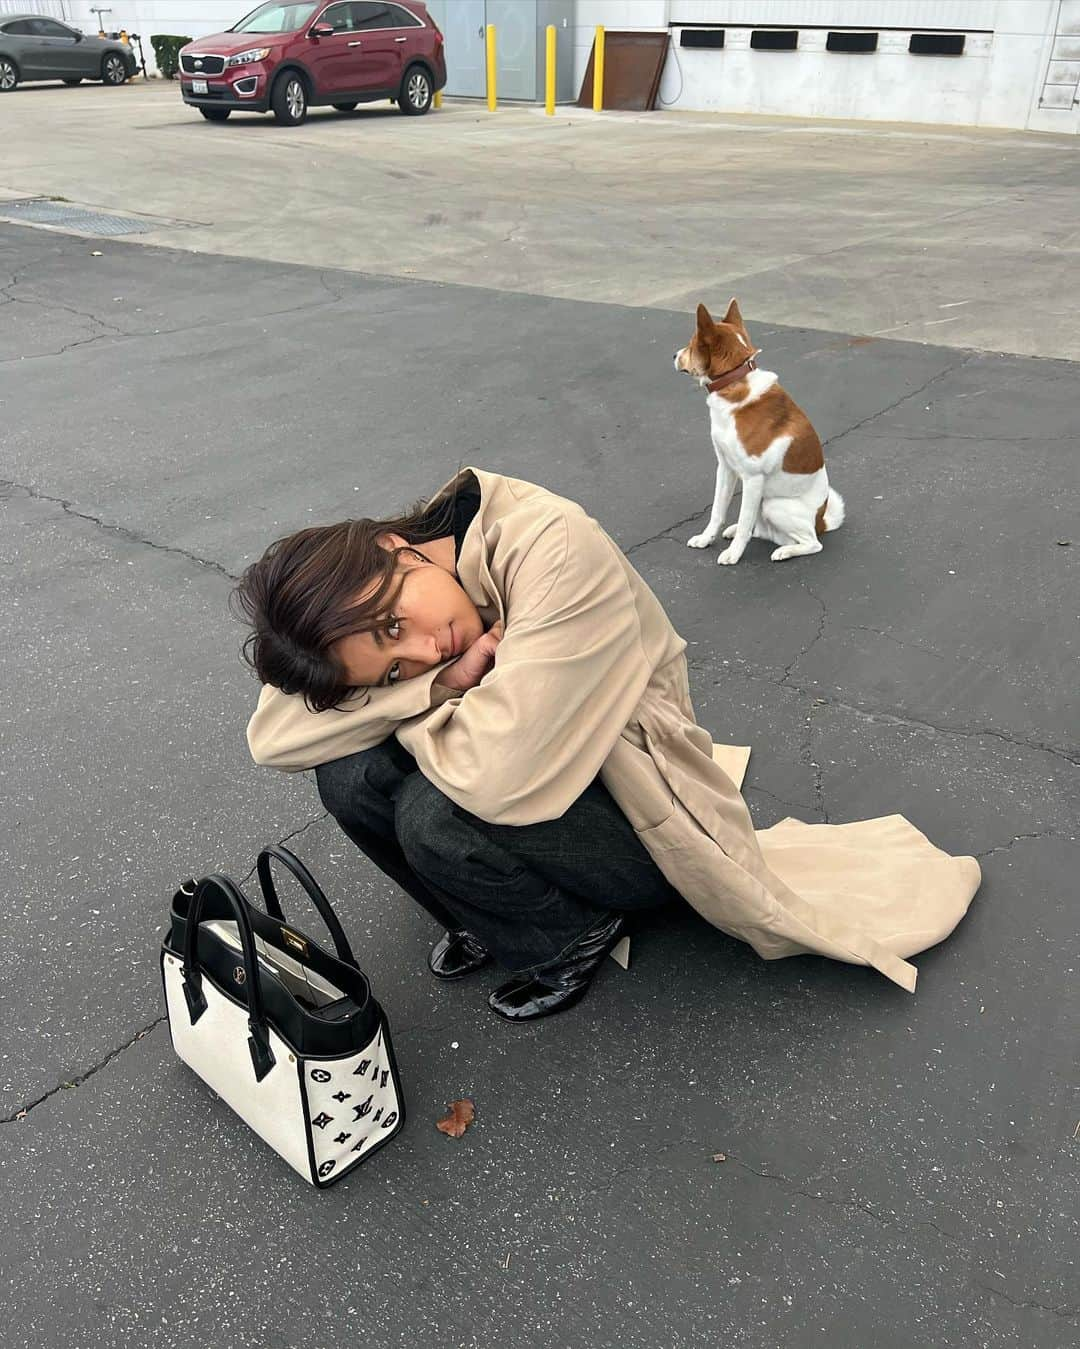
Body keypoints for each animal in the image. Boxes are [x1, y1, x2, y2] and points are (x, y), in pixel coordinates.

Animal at [674, 300, 841, 563]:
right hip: (763, 504)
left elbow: (744, 521)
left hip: (773, 505)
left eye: (690, 345)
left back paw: (785, 551)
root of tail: (820, 522)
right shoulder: (725, 467)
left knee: (812, 543)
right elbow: (717, 511)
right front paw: (706, 538)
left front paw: (733, 554)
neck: (734, 381)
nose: (674, 355)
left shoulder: (753, 478)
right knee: (760, 529)